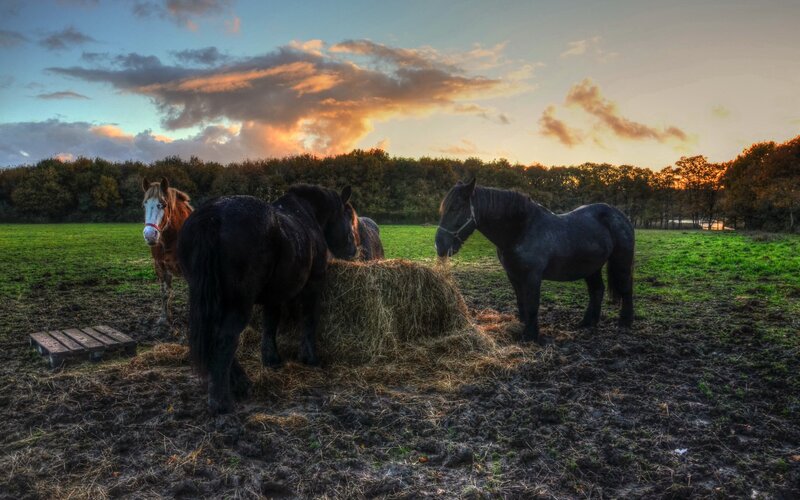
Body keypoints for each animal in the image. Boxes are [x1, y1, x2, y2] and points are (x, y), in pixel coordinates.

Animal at [141, 177, 193, 325]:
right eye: (144, 205)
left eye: (163, 205)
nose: (149, 235)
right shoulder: (161, 266)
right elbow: (165, 293)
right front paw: (164, 319)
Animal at [177, 185, 357, 414]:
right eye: (348, 216)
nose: (353, 250)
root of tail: (212, 216)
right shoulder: (313, 287)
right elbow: (309, 320)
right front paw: (310, 358)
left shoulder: (274, 295)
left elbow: (270, 324)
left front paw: (271, 359)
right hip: (238, 303)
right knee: (225, 339)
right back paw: (221, 401)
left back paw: (240, 384)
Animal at [435, 179, 634, 345]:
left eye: (456, 208)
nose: (439, 245)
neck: (520, 230)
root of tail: (621, 216)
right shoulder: (514, 275)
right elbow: (522, 303)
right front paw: (523, 328)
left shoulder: (532, 276)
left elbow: (532, 305)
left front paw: (531, 336)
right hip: (591, 267)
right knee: (597, 290)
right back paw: (588, 322)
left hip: (621, 261)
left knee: (626, 288)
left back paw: (625, 322)